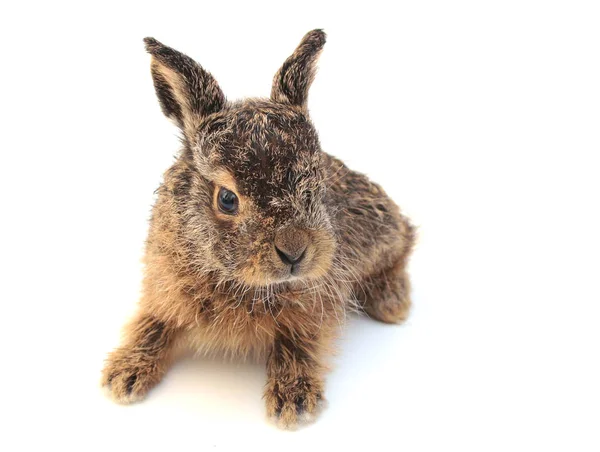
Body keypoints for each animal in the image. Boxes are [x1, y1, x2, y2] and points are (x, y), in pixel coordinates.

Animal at [102, 28, 412, 428]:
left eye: (316, 181)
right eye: (227, 199)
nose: (294, 251)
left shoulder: (316, 304)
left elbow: (298, 343)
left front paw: (293, 400)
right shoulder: (164, 289)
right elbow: (152, 324)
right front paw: (123, 374)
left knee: (405, 239)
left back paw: (393, 302)